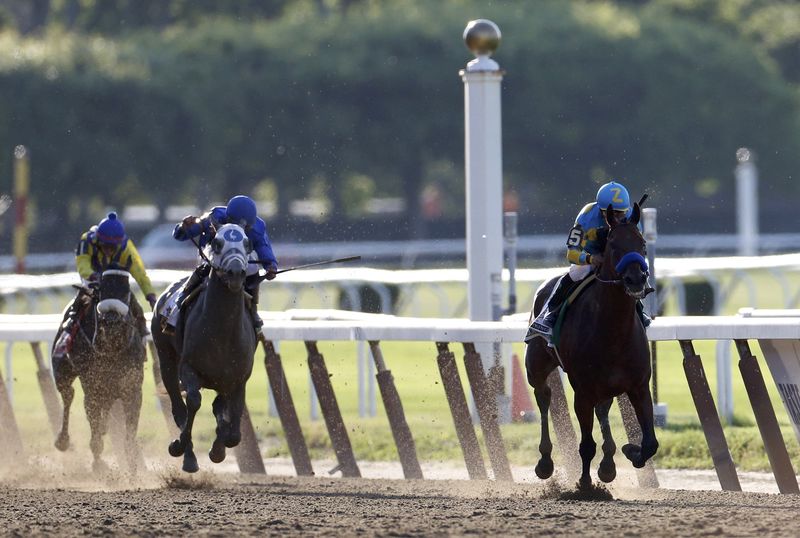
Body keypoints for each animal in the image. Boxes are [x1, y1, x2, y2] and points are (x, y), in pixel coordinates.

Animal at [52, 268, 146, 468]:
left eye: (127, 292)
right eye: (100, 291)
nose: (111, 322)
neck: (111, 350)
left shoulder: (132, 387)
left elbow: (130, 433)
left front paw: (132, 465)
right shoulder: (92, 387)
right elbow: (94, 428)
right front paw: (98, 465)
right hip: (62, 371)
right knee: (68, 394)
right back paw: (63, 440)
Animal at [152, 221, 258, 468]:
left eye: (247, 242)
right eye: (217, 243)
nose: (236, 272)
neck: (222, 332)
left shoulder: (238, 379)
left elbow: (233, 432)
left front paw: (218, 448)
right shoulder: (188, 368)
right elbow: (192, 402)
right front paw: (179, 445)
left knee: (217, 406)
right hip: (166, 359)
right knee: (178, 407)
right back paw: (188, 456)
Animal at [524, 201, 656, 486]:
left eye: (642, 243)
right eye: (614, 245)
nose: (636, 279)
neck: (613, 331)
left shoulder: (639, 386)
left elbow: (650, 443)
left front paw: (630, 451)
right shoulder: (582, 390)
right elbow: (586, 445)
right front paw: (584, 483)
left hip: (606, 386)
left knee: (602, 409)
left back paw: (608, 463)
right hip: (536, 366)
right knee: (543, 397)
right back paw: (545, 462)